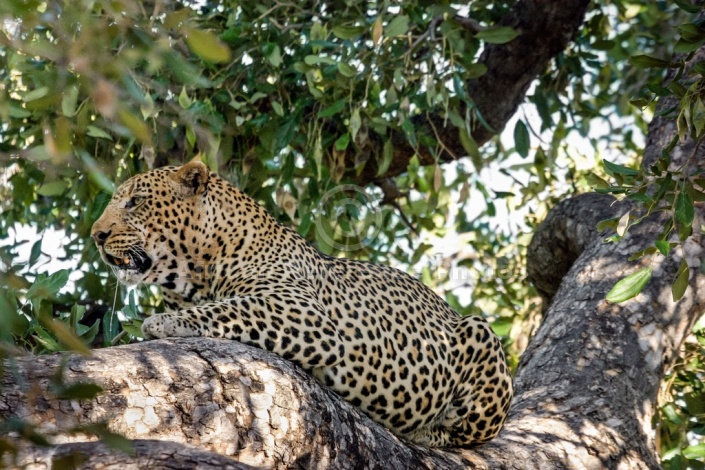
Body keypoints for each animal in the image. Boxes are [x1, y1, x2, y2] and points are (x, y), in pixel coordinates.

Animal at [92, 159, 512, 448]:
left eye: (135, 202)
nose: (97, 234)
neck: (196, 269)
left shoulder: (301, 311)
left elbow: (229, 308)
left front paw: (163, 321)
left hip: (480, 334)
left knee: (469, 433)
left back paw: (427, 432)